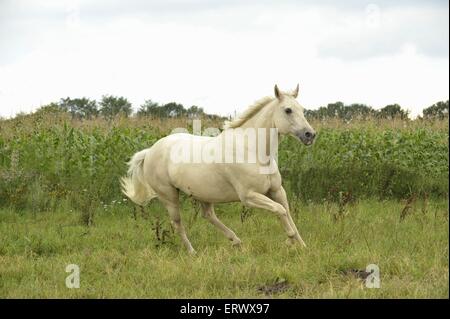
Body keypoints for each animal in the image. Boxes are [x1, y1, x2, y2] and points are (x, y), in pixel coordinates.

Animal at [121, 85, 314, 255]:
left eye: (303, 109)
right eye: (288, 110)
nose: (310, 135)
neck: (252, 150)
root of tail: (150, 151)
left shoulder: (277, 191)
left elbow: (287, 213)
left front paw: (303, 246)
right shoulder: (249, 196)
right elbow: (280, 210)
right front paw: (289, 241)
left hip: (203, 194)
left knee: (208, 215)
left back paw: (236, 242)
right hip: (169, 196)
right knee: (177, 223)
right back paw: (193, 252)